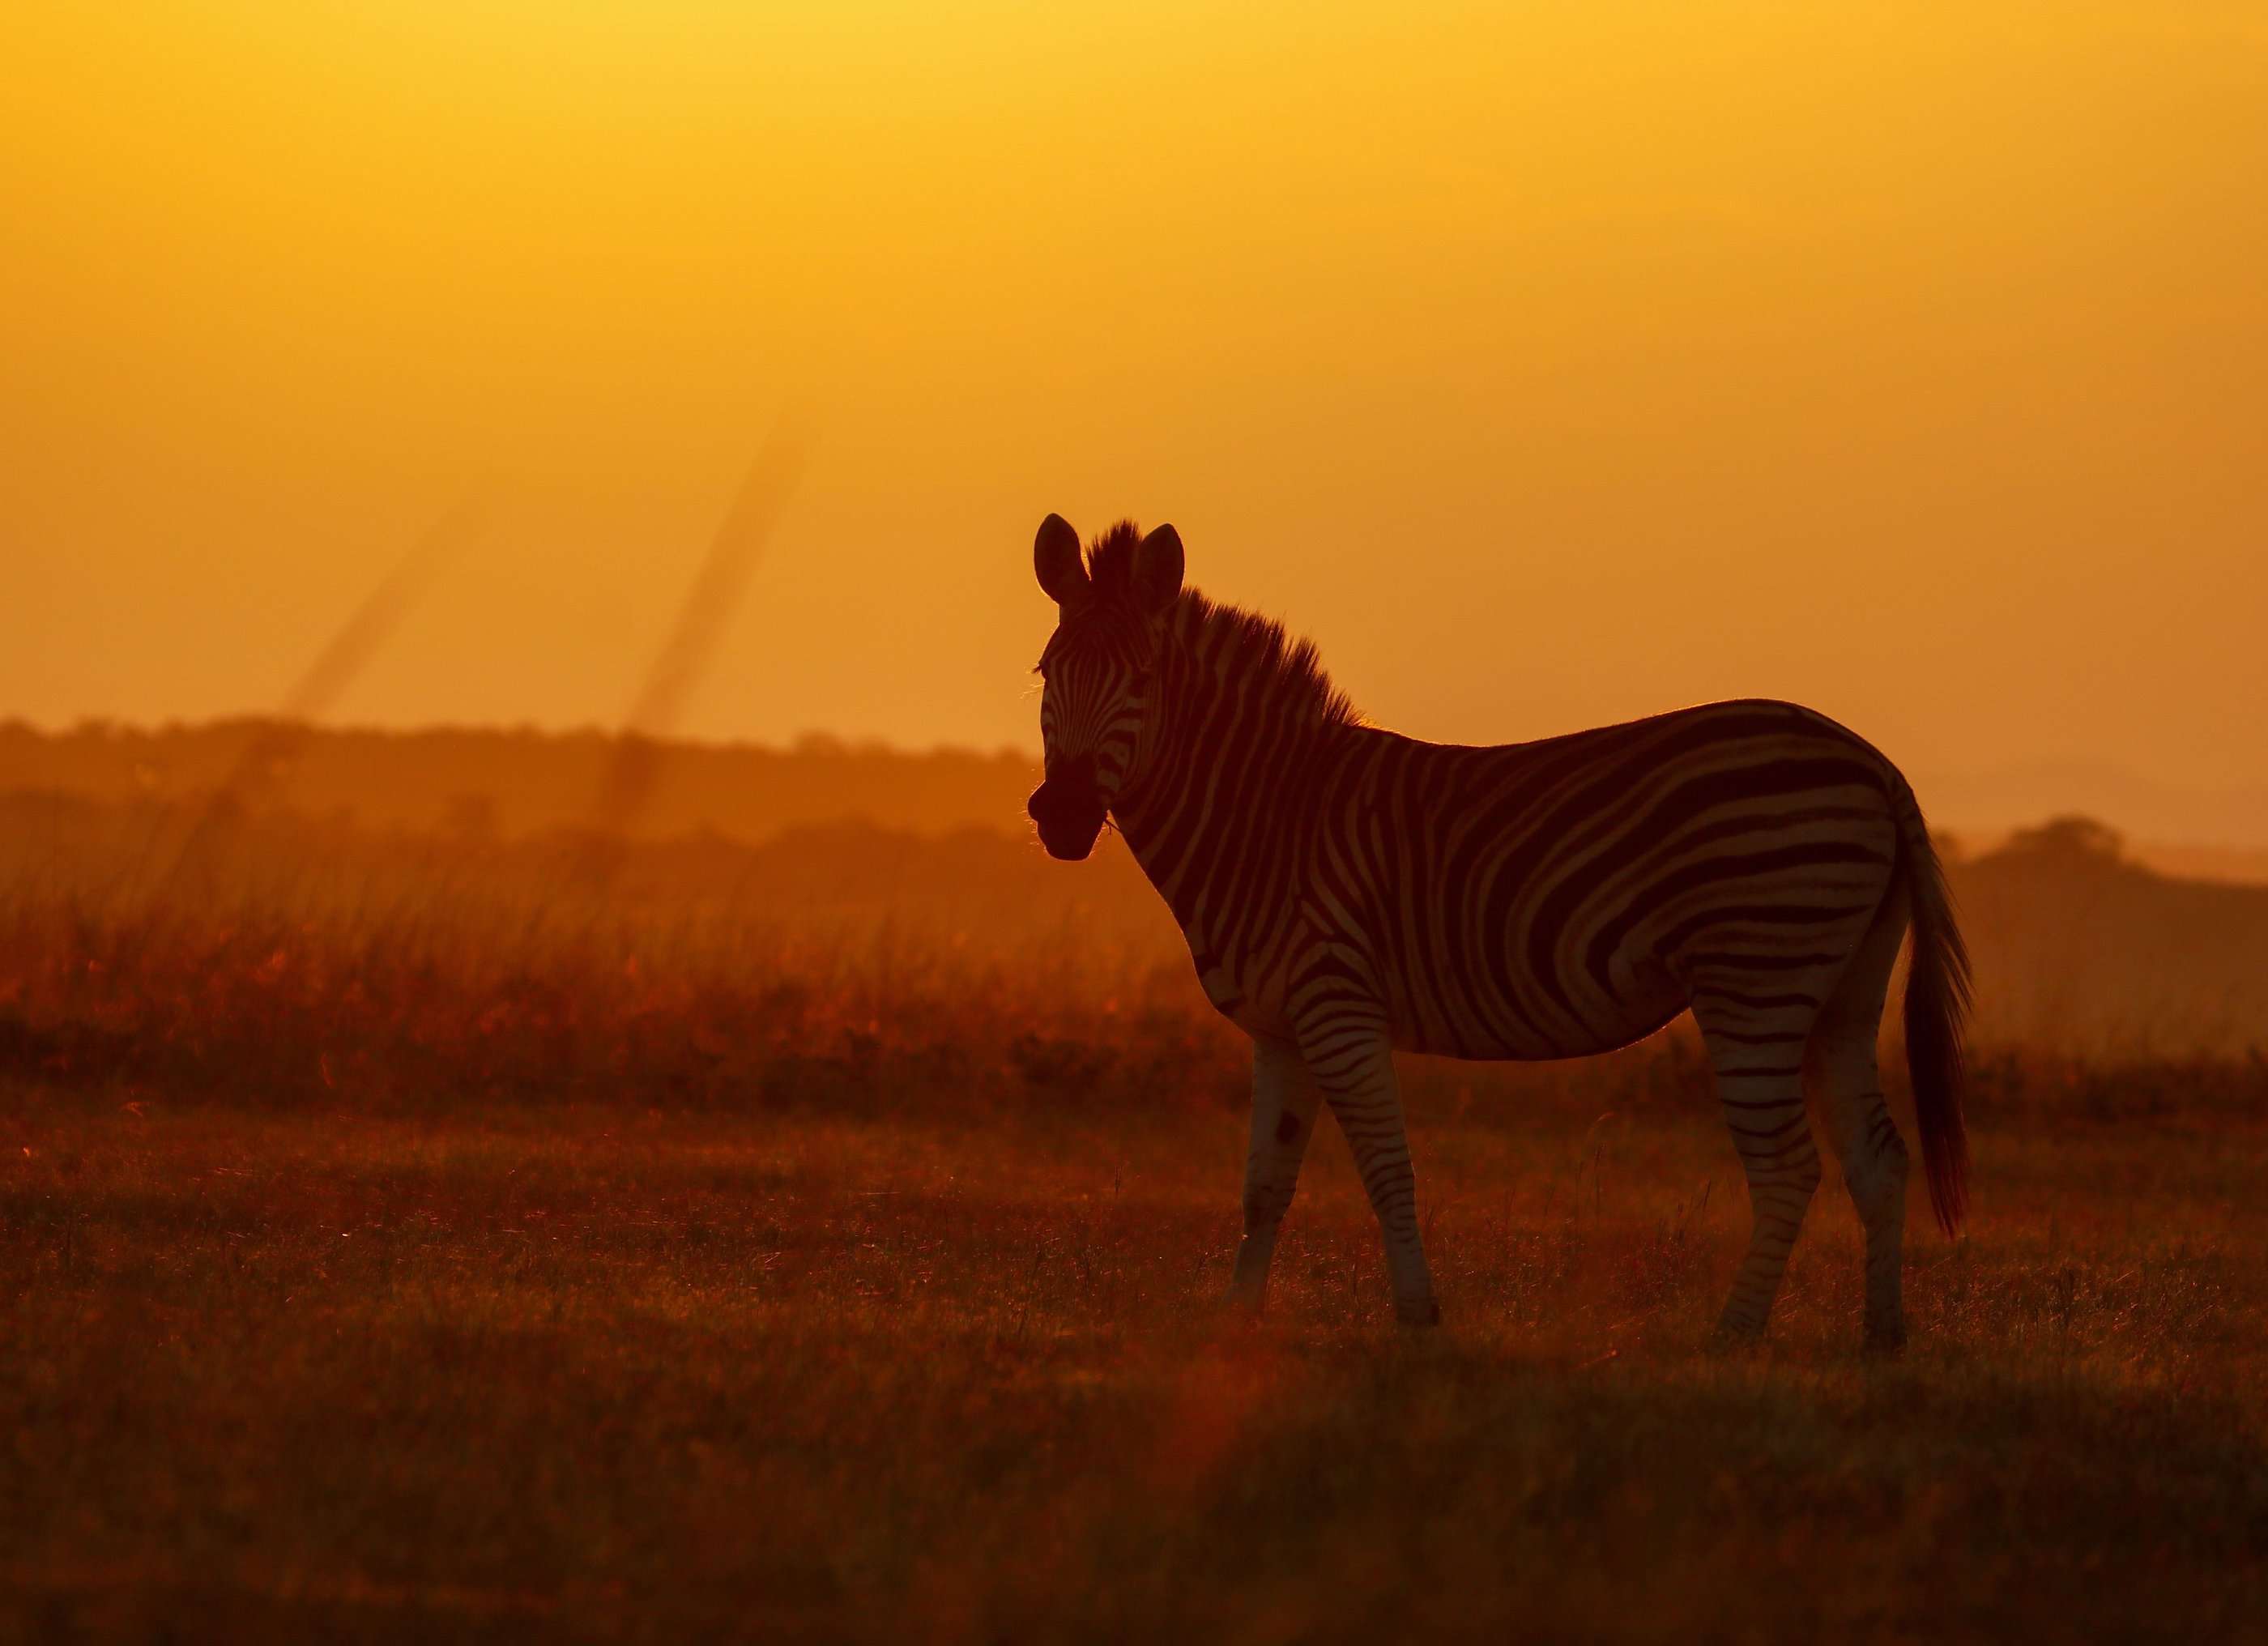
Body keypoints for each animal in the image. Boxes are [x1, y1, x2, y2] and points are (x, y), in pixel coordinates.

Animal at [1024, 514, 1969, 1352]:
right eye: (1042, 673)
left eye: (1142, 680)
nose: (1063, 817)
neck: (1268, 816)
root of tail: (1873, 762)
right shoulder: (1280, 1029)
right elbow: (1264, 1185)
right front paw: (1235, 1322)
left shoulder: (1338, 1008)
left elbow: (1386, 1170)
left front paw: (1416, 1318)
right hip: (1841, 991)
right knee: (1879, 1159)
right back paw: (1881, 1335)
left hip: (1756, 978)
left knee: (1786, 1169)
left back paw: (1733, 1334)